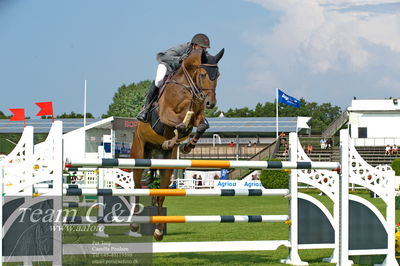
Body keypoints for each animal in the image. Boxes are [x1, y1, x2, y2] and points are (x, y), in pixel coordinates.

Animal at [131, 48, 225, 241]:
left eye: (218, 75)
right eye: (203, 74)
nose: (210, 103)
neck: (188, 87)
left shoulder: (197, 114)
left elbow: (201, 125)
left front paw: (186, 146)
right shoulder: (166, 113)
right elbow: (180, 125)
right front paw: (172, 140)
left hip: (166, 167)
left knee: (160, 196)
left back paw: (159, 231)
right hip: (139, 158)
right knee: (137, 188)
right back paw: (135, 225)